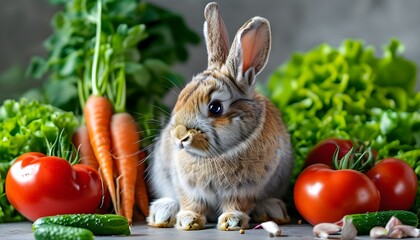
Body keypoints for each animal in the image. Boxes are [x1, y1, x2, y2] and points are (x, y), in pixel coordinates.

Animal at [146, 1, 294, 231]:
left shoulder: (246, 189)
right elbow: (192, 203)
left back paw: (272, 210)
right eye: (181, 97)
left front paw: (232, 221)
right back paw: (162, 212)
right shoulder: (187, 187)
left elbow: (237, 204)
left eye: (215, 108)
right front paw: (188, 220)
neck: (215, 155)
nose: (179, 136)